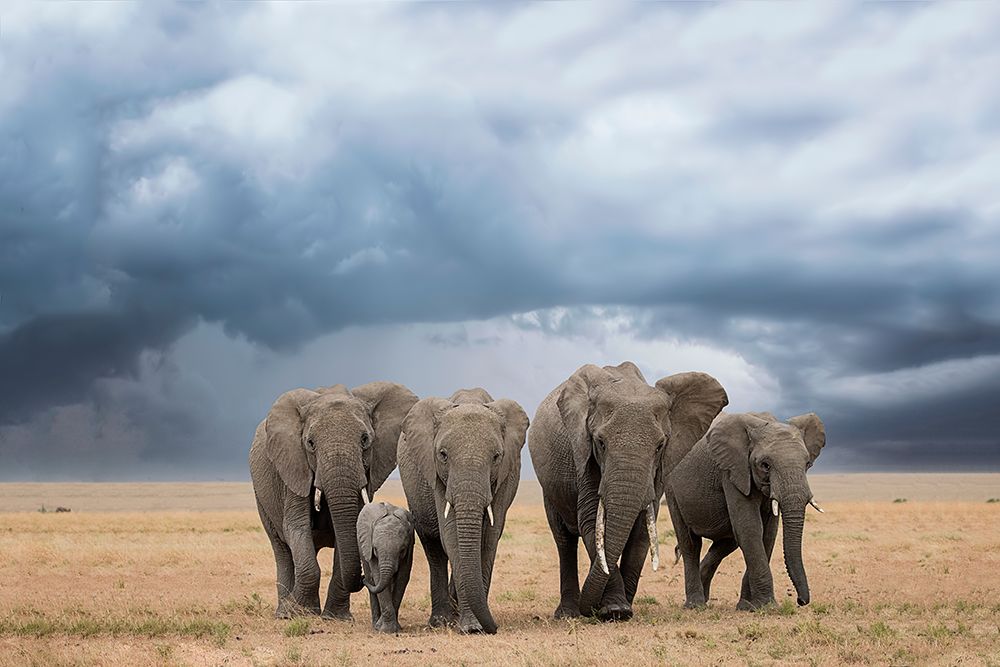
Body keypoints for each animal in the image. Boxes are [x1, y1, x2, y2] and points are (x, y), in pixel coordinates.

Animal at [249, 381, 418, 619]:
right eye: (310, 443)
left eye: (365, 440)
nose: (363, 579)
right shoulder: (294, 467)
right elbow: (296, 527)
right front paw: (296, 612)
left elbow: (351, 530)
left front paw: (336, 617)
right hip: (262, 497)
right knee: (282, 550)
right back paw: (285, 612)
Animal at [357, 501, 415, 634]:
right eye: (375, 549)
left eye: (402, 550)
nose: (361, 579)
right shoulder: (369, 549)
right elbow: (378, 577)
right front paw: (384, 629)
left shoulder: (409, 548)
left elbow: (402, 578)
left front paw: (393, 628)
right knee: (372, 579)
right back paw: (374, 625)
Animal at [397, 388, 529, 634]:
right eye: (443, 455)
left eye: (496, 456)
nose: (494, 627)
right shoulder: (437, 476)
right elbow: (451, 536)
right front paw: (472, 627)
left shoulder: (506, 475)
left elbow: (488, 539)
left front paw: (475, 626)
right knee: (433, 547)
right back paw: (441, 621)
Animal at [529, 362, 729, 621]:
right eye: (600, 443)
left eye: (660, 446)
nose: (589, 609)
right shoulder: (583, 455)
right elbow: (592, 520)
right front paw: (615, 609)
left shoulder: (658, 471)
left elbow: (642, 526)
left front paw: (622, 608)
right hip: (550, 486)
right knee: (564, 540)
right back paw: (567, 614)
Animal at [665, 411, 826, 611]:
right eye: (765, 465)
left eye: (807, 464)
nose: (800, 601)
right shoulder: (733, 471)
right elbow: (750, 528)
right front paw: (768, 606)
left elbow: (767, 534)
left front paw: (748, 607)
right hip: (671, 489)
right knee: (690, 544)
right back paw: (695, 605)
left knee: (727, 543)